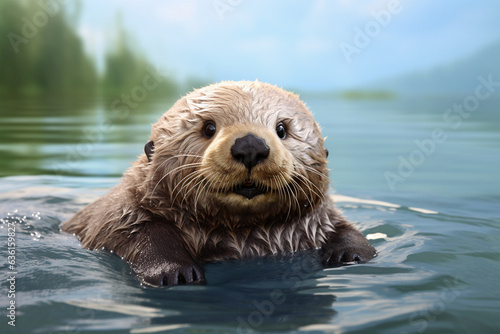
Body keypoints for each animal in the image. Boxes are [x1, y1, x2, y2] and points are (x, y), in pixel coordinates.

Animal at [62, 79, 376, 286]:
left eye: (282, 129)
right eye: (208, 127)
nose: (250, 146)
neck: (242, 235)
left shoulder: (318, 219)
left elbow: (344, 229)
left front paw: (350, 254)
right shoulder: (124, 213)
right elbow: (143, 233)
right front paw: (175, 271)